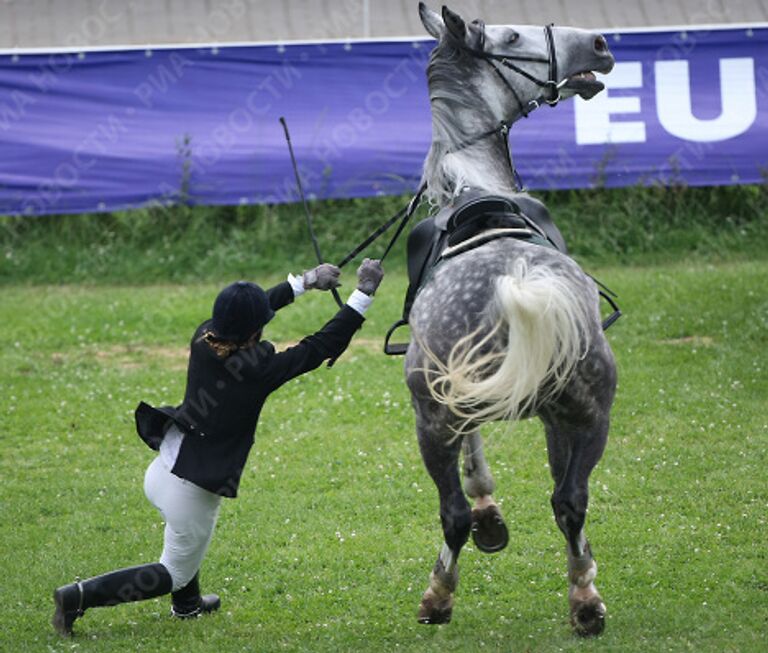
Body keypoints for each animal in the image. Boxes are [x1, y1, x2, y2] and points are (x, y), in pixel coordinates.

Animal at [408, 3, 616, 636]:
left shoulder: (455, 401)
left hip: (431, 421)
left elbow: (474, 468)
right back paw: (586, 602)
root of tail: (514, 283)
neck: (474, 186)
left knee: (452, 513)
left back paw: (438, 596)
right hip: (590, 417)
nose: (600, 44)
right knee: (570, 501)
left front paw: (490, 518)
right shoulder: (551, 418)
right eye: (512, 34)